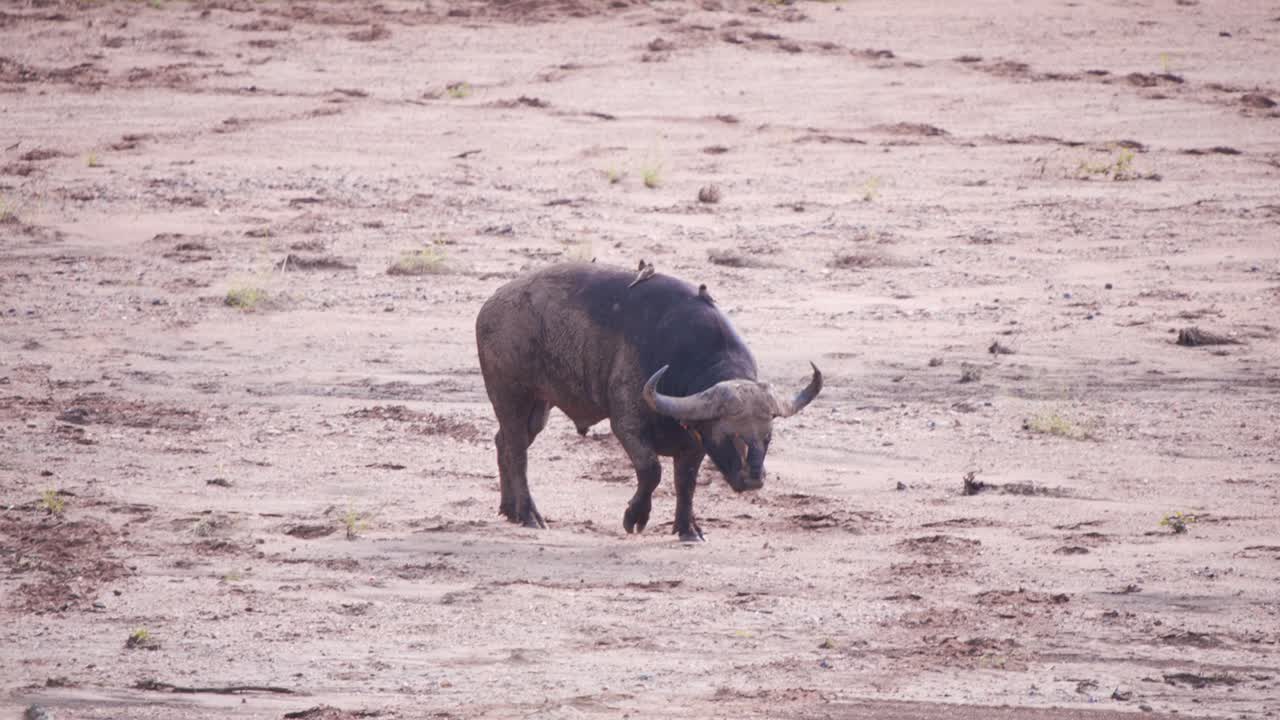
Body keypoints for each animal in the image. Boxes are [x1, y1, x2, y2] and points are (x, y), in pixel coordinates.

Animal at [475, 262, 821, 541]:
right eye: (729, 435)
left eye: (768, 437)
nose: (753, 479)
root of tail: (491, 306)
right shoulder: (627, 425)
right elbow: (651, 469)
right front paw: (635, 517)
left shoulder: (694, 442)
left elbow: (686, 483)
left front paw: (688, 529)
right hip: (512, 397)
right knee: (517, 451)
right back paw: (529, 515)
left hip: (539, 408)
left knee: (503, 441)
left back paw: (509, 509)